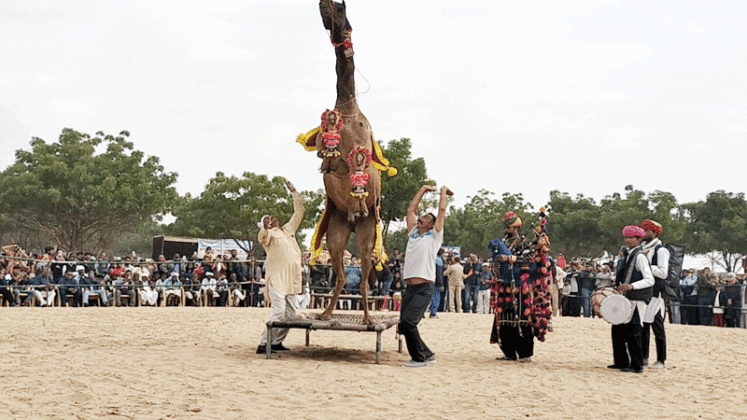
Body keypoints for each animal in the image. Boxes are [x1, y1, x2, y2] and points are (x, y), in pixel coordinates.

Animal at [296, 0, 394, 324]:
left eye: (341, 10)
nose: (323, 3)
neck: (348, 109)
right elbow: (325, 161)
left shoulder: (360, 157)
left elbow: (355, 173)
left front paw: (359, 201)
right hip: (336, 236)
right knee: (340, 276)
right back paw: (325, 314)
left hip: (365, 235)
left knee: (362, 277)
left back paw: (367, 318)